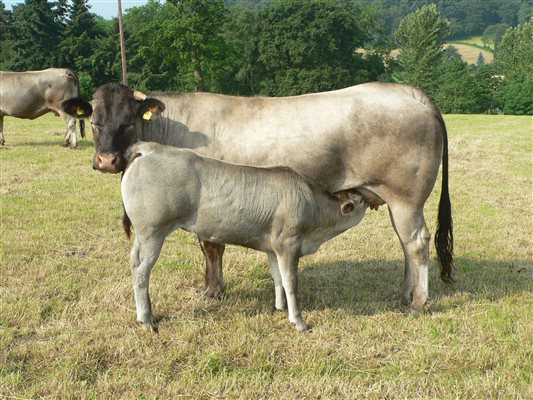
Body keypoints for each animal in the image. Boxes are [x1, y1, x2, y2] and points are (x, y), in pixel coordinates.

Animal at [122, 141, 368, 332]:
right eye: (360, 201)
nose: (370, 198)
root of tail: (150, 148)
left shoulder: (272, 246)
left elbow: (277, 276)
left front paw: (279, 307)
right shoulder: (288, 243)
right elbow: (291, 282)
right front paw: (298, 322)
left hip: (144, 234)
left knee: (134, 261)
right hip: (153, 230)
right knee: (141, 269)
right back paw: (147, 320)